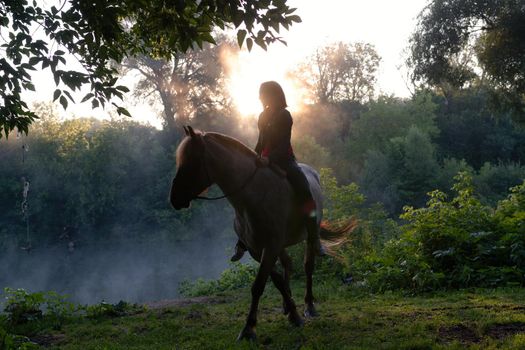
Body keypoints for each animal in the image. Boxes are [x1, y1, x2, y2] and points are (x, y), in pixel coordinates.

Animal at [170, 126, 354, 342]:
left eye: (191, 161)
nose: (174, 198)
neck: (254, 195)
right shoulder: (256, 249)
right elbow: (276, 280)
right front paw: (291, 311)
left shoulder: (271, 246)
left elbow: (258, 285)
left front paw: (249, 328)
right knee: (288, 264)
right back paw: (287, 304)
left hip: (308, 238)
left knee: (308, 267)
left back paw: (309, 306)